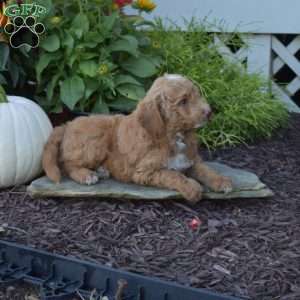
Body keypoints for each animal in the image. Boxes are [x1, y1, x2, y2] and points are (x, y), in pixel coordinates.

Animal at [43, 74, 233, 203]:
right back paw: (86, 175)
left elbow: (206, 169)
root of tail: (68, 124)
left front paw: (222, 181)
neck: (174, 135)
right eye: (183, 101)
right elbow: (172, 174)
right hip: (94, 143)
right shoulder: (143, 172)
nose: (210, 112)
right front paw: (192, 187)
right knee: (67, 163)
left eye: (196, 94)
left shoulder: (190, 160)